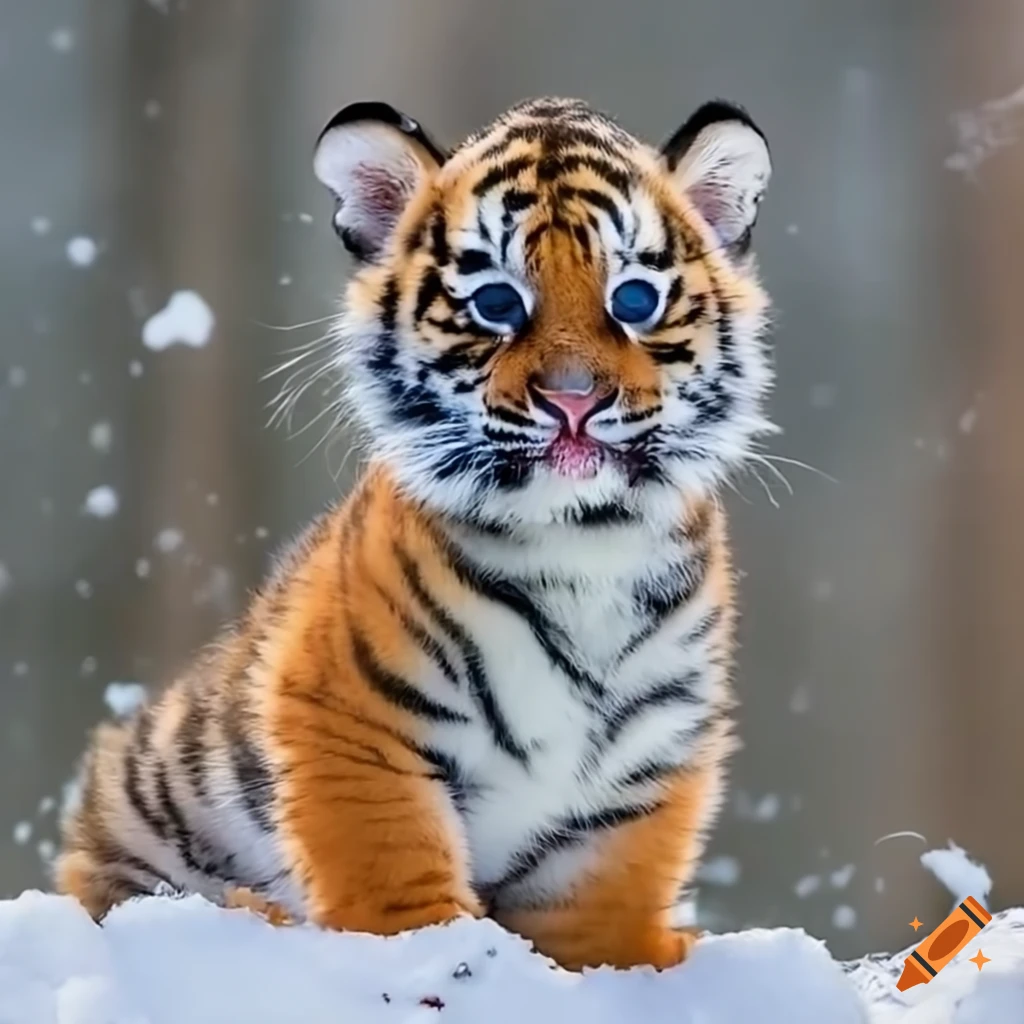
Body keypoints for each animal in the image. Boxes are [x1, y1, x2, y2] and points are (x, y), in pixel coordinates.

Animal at [56, 95, 774, 972]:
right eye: (497, 303)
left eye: (634, 300)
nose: (573, 399)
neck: (583, 544)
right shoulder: (353, 726)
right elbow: (398, 886)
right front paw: (434, 961)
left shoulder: (643, 773)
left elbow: (602, 919)